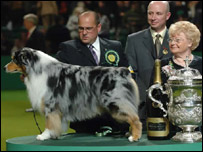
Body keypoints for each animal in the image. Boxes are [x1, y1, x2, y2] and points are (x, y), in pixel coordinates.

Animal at [3, 47, 142, 141]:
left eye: (14, 59)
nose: (4, 67)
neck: (37, 69)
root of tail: (124, 71)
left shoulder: (50, 103)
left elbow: (49, 121)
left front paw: (44, 135)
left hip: (116, 102)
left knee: (135, 119)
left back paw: (134, 137)